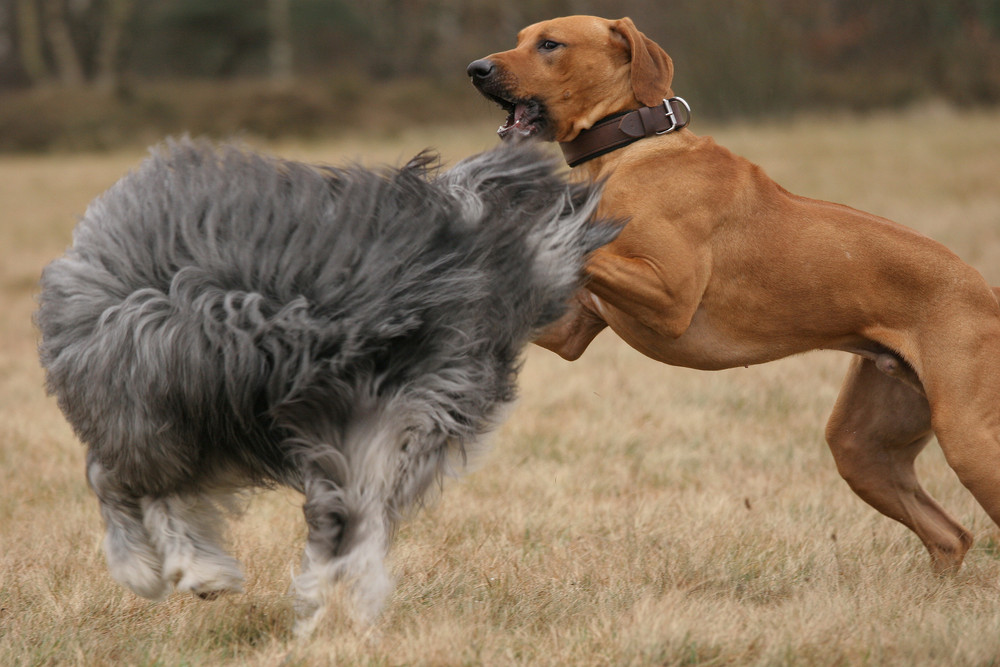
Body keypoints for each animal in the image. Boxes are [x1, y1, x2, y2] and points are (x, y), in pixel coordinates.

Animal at [37, 140, 616, 632]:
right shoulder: (371, 421)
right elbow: (348, 521)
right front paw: (337, 614)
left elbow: (348, 522)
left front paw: (332, 605)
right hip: (150, 392)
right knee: (120, 478)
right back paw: (147, 566)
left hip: (210, 414)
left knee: (166, 487)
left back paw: (203, 572)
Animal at [470, 18, 1000, 576]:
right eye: (521, 38)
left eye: (550, 44)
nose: (475, 69)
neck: (628, 151)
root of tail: (985, 291)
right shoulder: (572, 330)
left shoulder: (671, 296)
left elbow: (581, 243)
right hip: (864, 447)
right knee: (950, 535)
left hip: (969, 437)